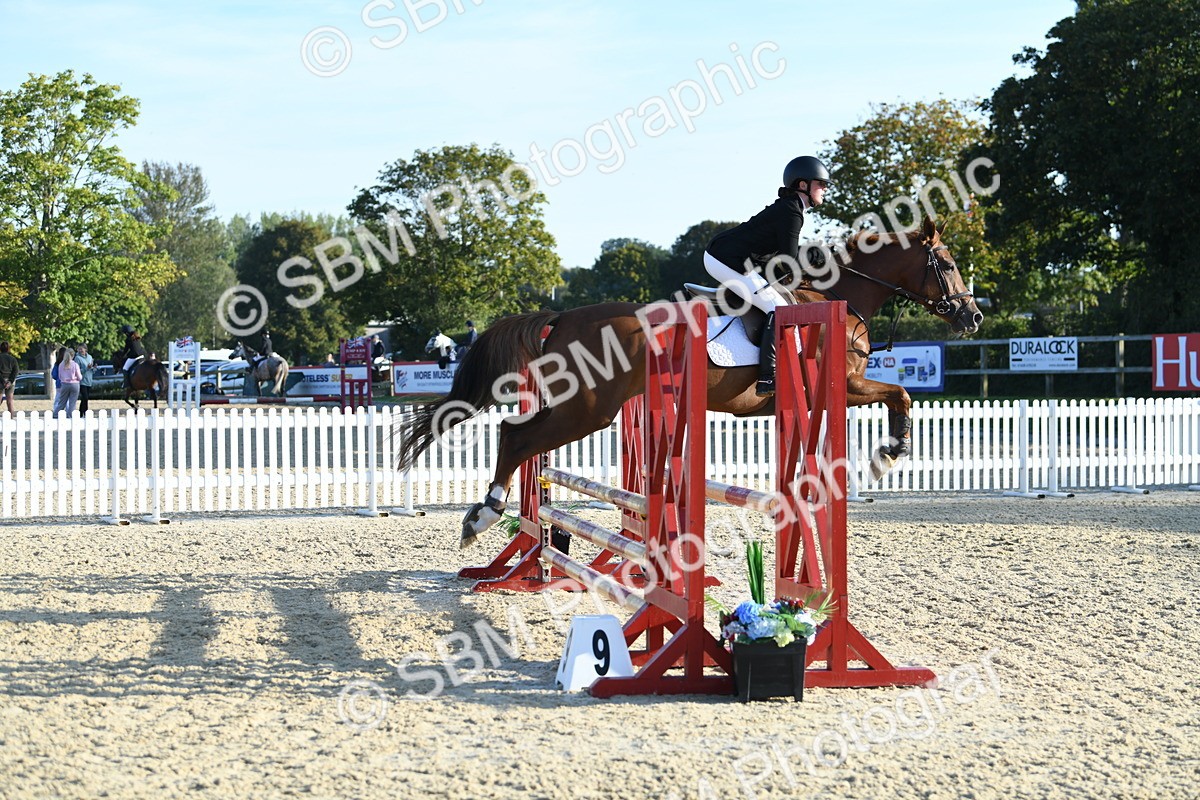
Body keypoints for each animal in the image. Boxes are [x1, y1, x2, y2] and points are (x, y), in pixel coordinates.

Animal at [397, 217, 984, 548]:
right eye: (948, 262)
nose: (972, 317)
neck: (837, 299)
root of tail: (561, 316)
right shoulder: (842, 384)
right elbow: (900, 394)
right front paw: (891, 451)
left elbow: (892, 398)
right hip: (589, 409)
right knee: (517, 436)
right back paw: (482, 516)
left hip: (578, 404)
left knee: (515, 434)